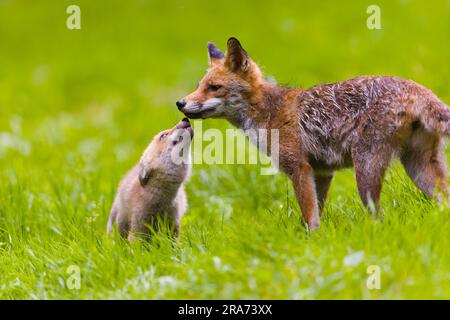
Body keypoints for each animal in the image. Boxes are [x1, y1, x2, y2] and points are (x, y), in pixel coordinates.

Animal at [178, 38, 448, 231]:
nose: (180, 103)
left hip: (366, 170)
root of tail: (417, 88)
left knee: (379, 217)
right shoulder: (322, 172)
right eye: (199, 86)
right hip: (419, 167)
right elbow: (315, 211)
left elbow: (310, 217)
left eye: (214, 87)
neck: (269, 112)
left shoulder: (299, 168)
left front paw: (311, 241)